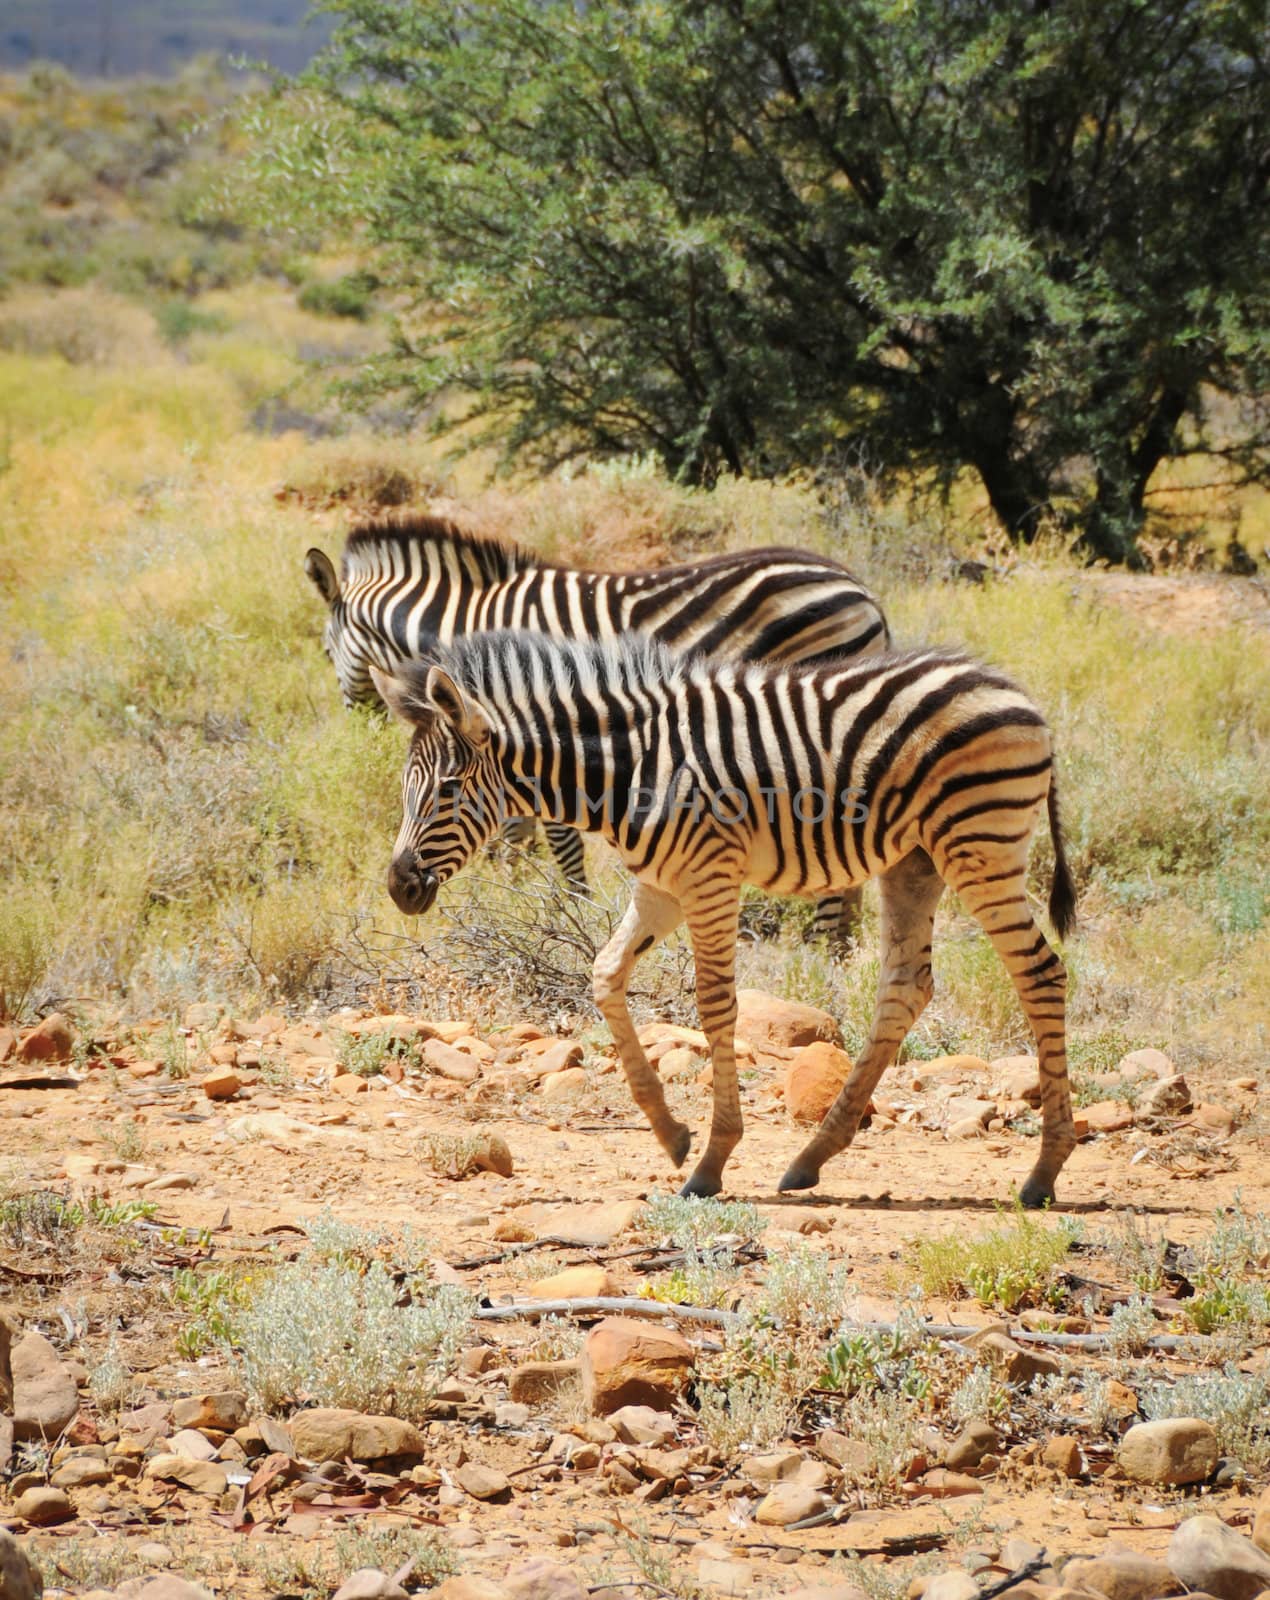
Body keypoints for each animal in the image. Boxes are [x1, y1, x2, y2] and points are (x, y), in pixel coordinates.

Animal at [302, 512, 882, 934]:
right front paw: (514, 900)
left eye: (327, 651)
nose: (356, 726)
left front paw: (572, 909)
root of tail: (859, 587)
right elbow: (515, 833)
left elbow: (557, 840)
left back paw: (821, 946)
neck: (467, 622)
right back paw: (837, 949)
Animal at [371, 630, 1074, 1203]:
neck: (627, 770)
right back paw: (812, 1157)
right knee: (906, 987)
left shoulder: (709, 874)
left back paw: (1043, 1174)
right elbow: (604, 975)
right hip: (915, 862)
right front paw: (671, 1134)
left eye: (447, 790)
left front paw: (710, 1162)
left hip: (979, 846)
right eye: (405, 790)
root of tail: (1019, 694)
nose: (399, 887)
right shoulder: (660, 885)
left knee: (1041, 974)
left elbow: (713, 1003)